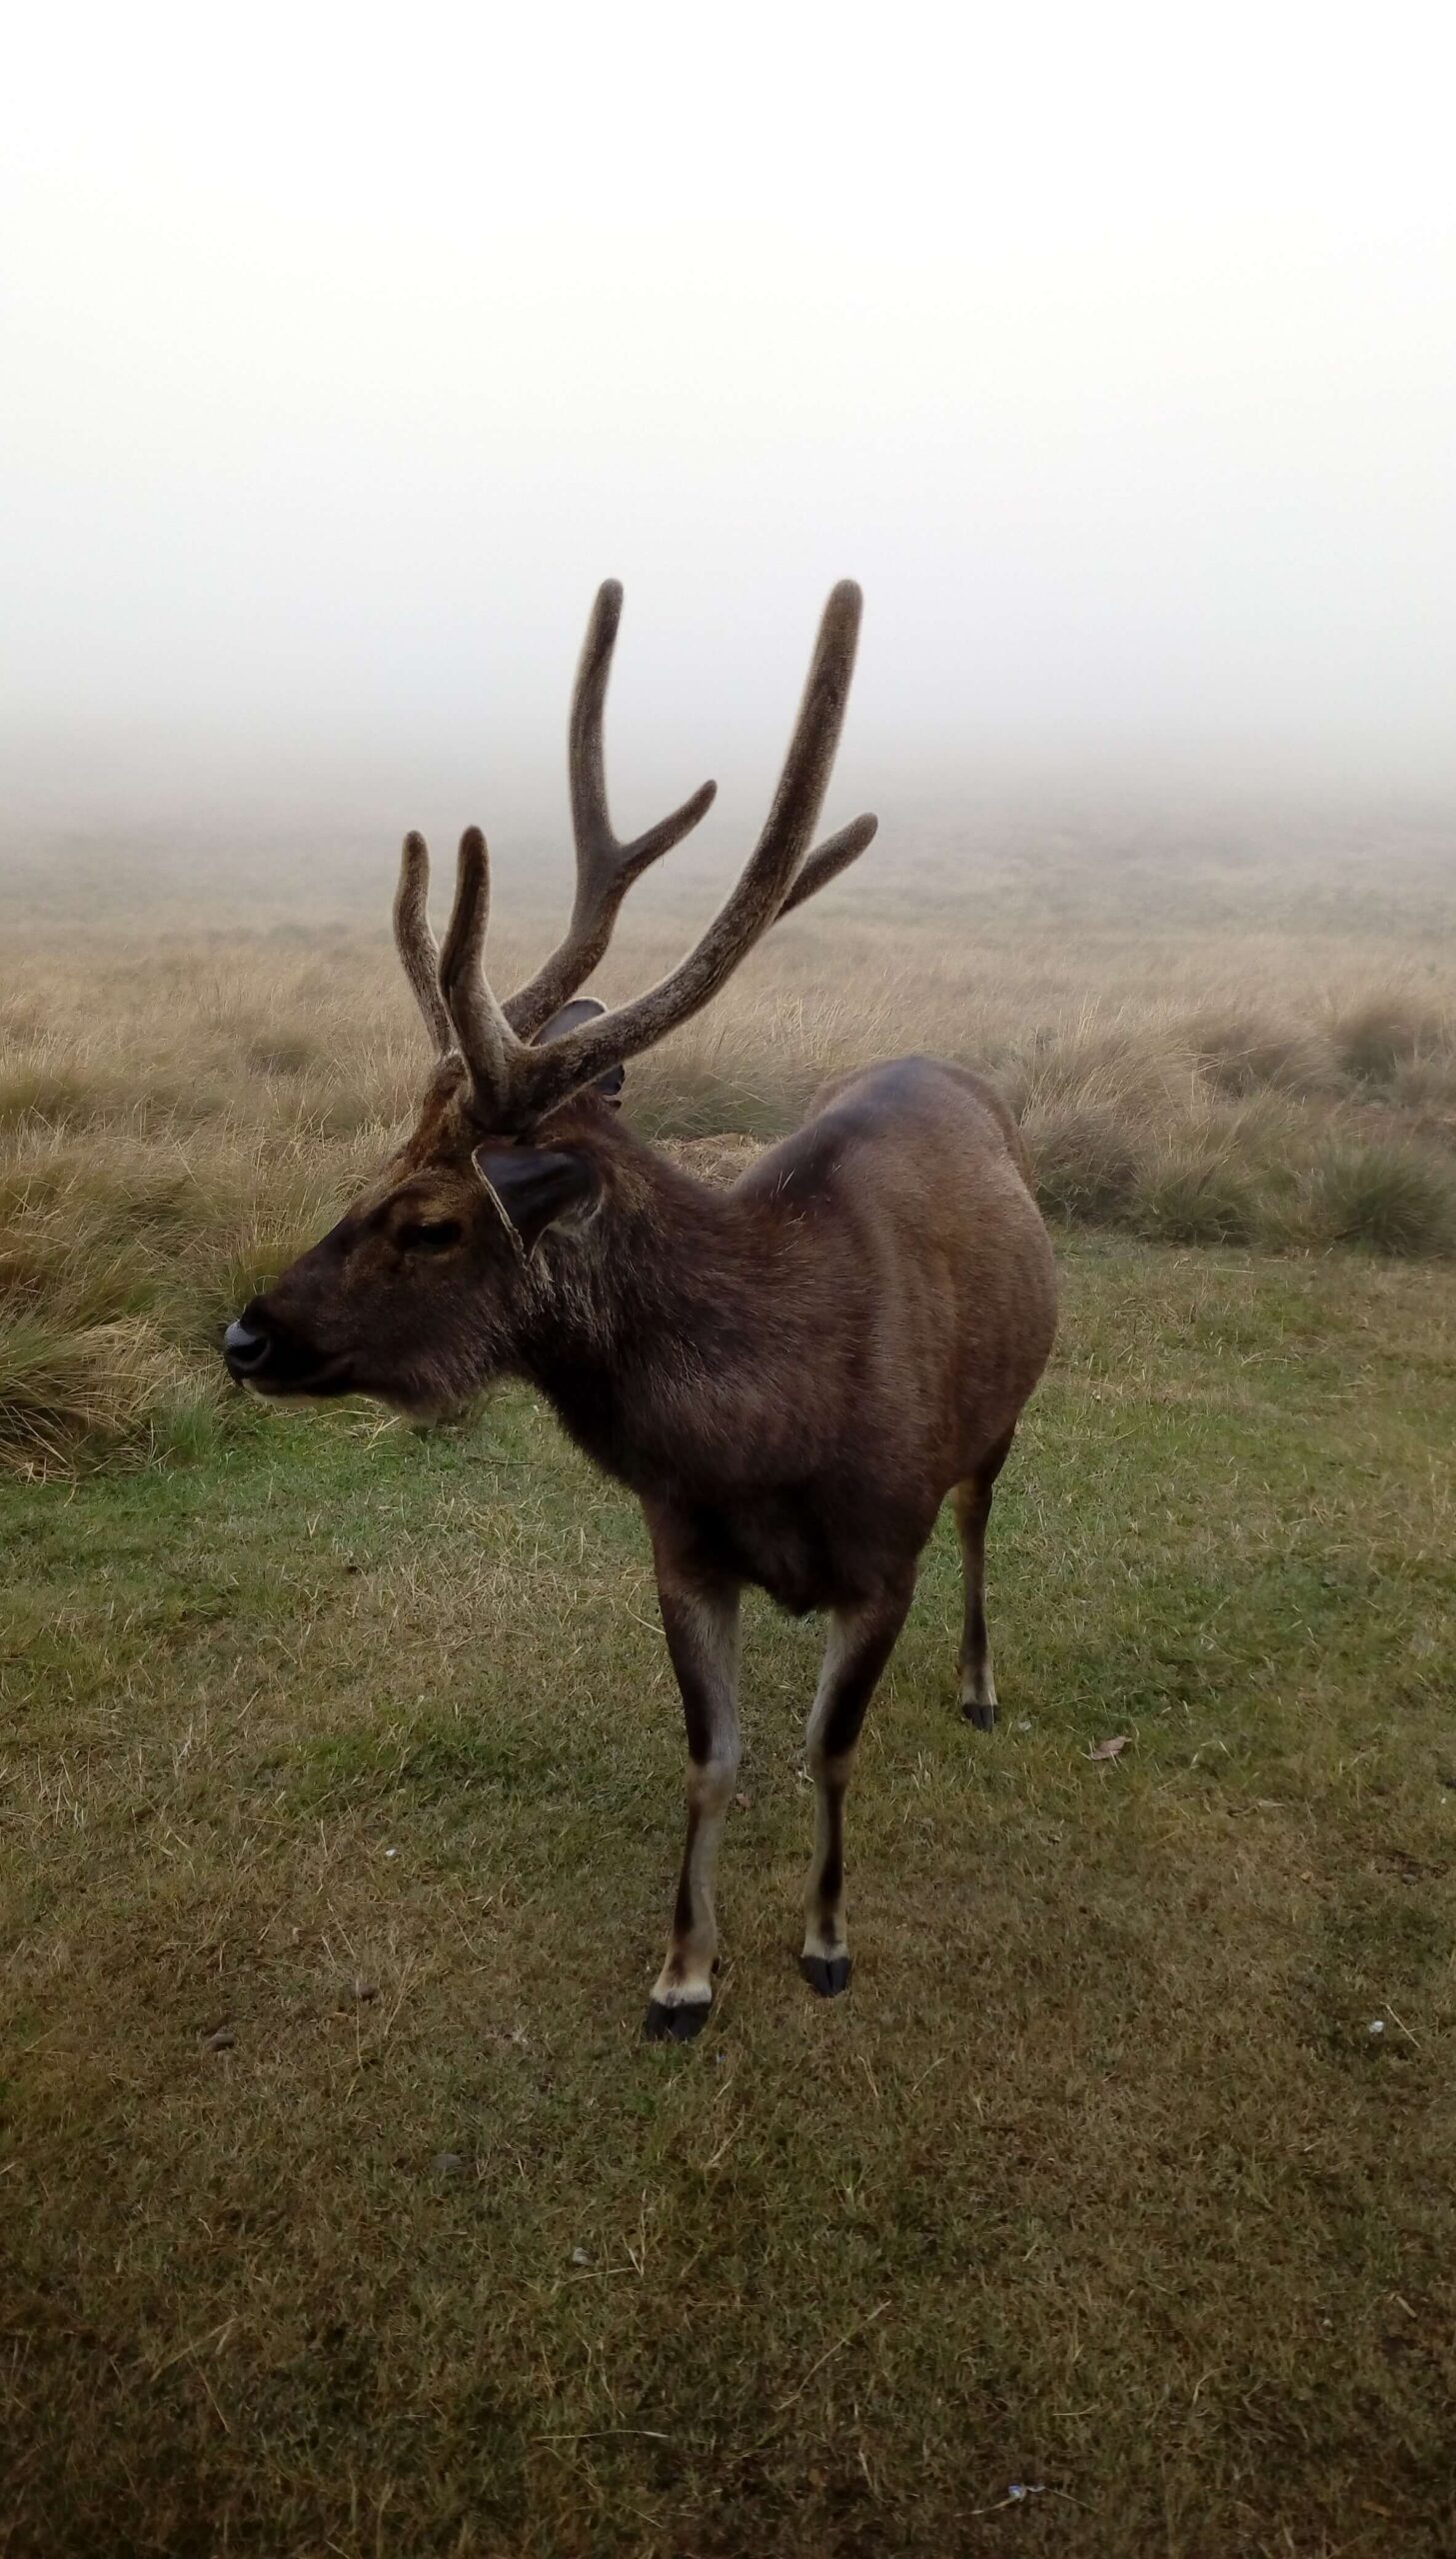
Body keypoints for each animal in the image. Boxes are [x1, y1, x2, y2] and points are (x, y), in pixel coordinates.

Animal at [223, 580, 1057, 2040]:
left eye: (432, 1223)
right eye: (370, 1171)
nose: (245, 1333)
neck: (768, 1430)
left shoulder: (880, 1553)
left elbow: (831, 1751)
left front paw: (825, 1940)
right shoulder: (677, 1545)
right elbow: (711, 1761)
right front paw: (682, 1973)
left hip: (996, 1427)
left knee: (978, 1523)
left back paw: (976, 1682)